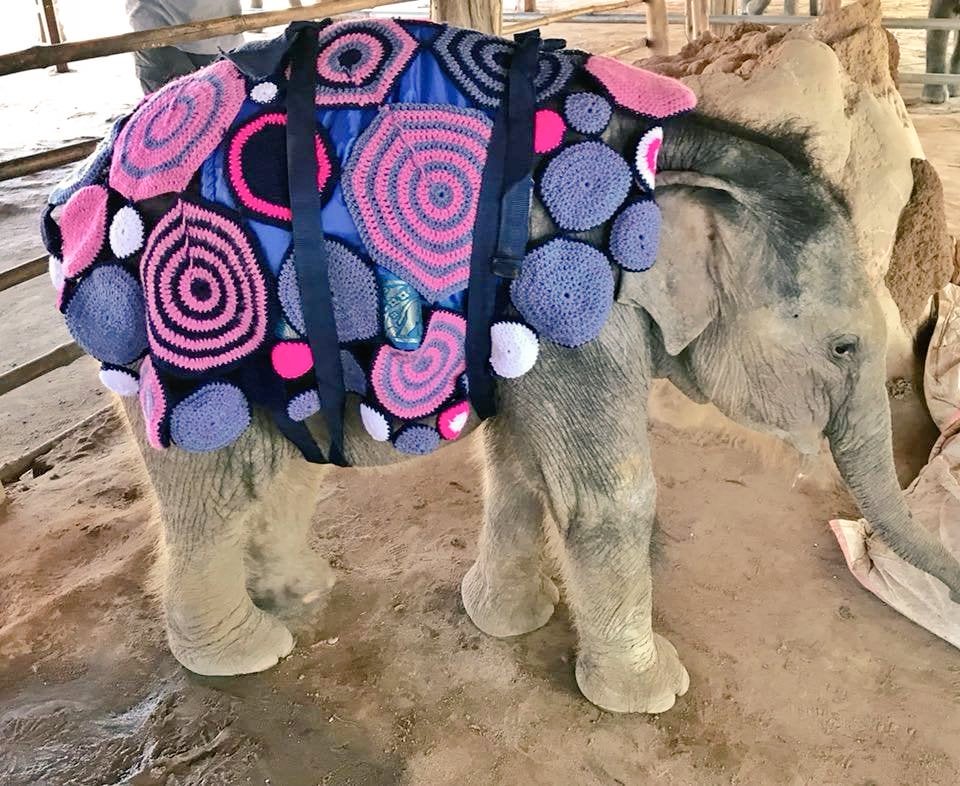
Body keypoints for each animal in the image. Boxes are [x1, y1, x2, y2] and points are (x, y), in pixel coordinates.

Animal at [120, 110, 960, 714]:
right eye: (845, 347)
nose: (950, 593)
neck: (676, 150)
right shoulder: (571, 301)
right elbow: (607, 495)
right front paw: (653, 695)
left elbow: (521, 462)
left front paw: (509, 619)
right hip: (177, 339)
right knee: (214, 485)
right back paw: (246, 652)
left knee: (281, 467)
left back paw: (299, 594)